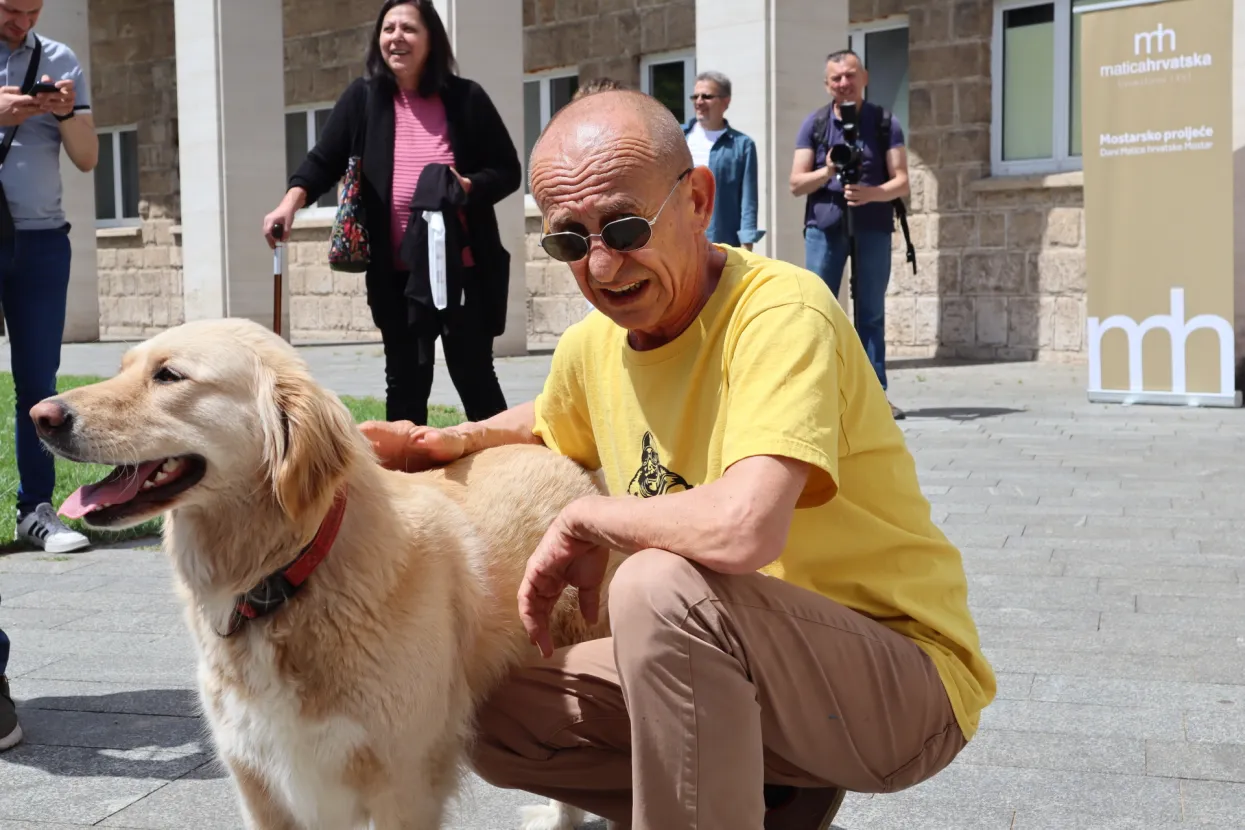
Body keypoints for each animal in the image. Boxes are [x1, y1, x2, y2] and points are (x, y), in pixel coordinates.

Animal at [32, 318, 617, 830]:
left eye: (169, 375)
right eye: (124, 367)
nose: (41, 415)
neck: (284, 576)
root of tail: (562, 457)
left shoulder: (404, 783)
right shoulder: (262, 783)